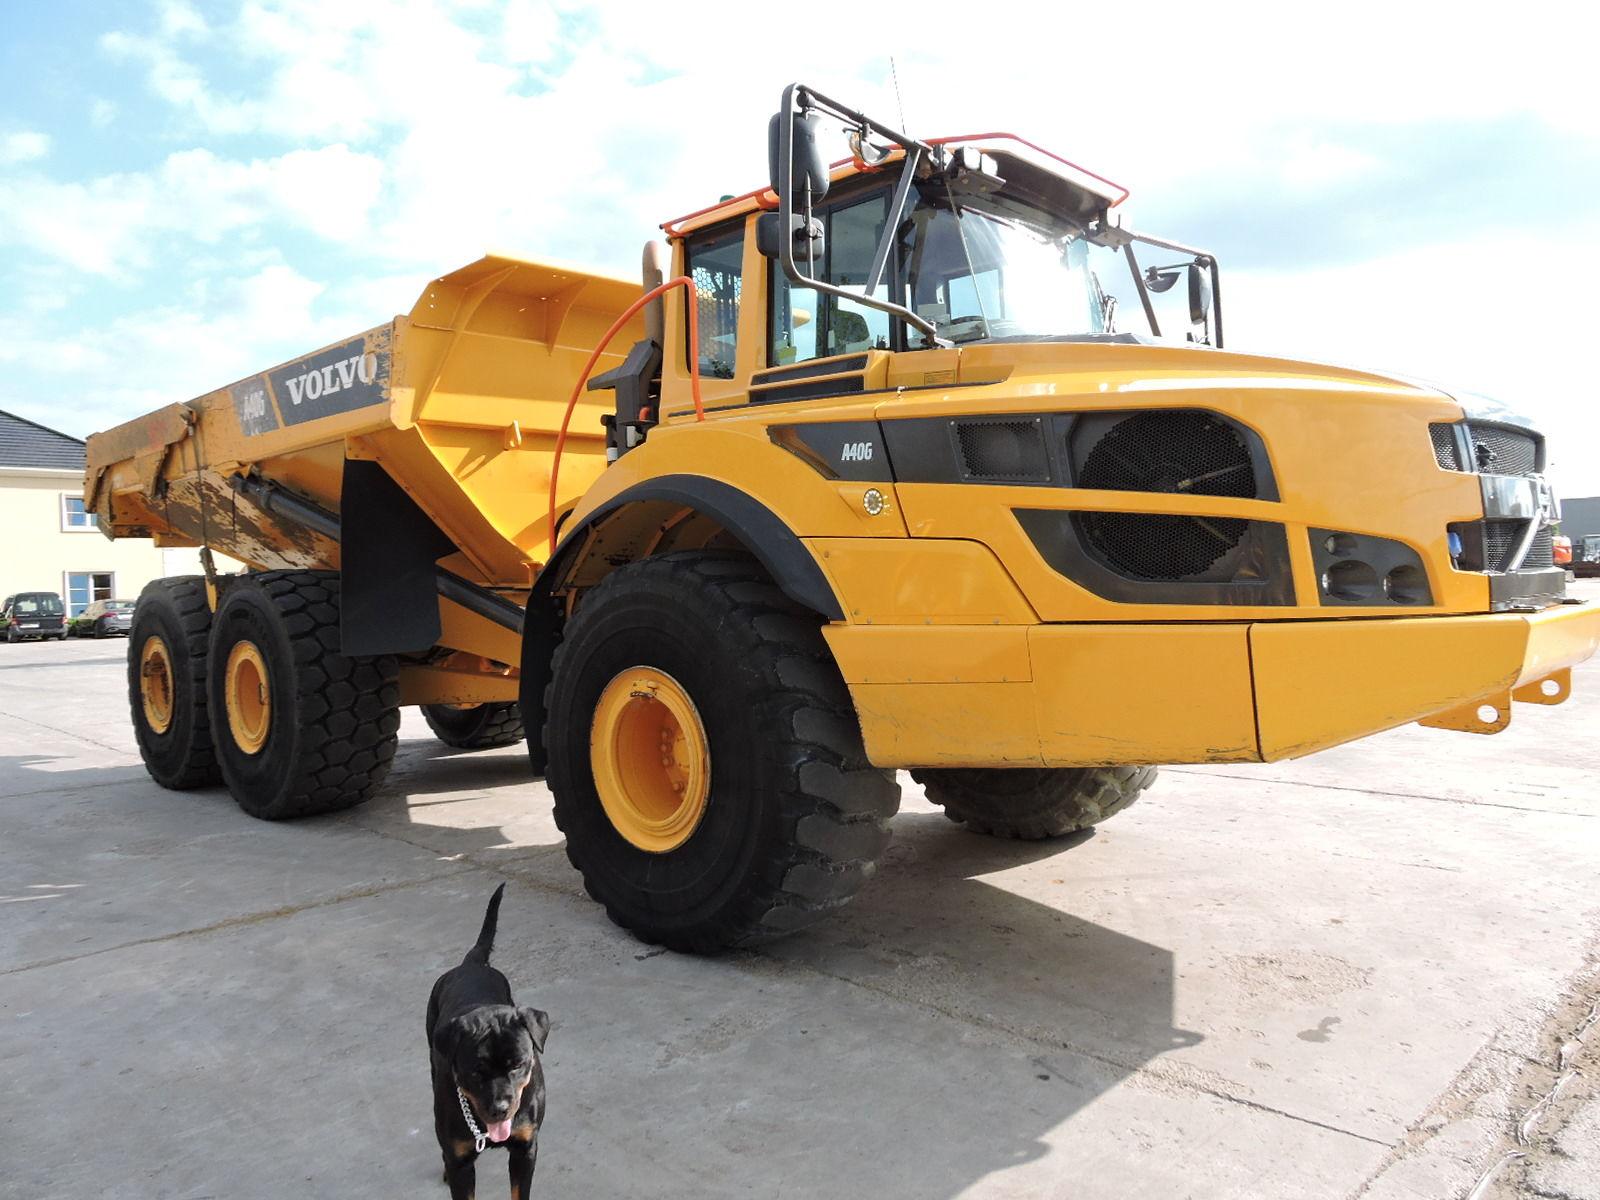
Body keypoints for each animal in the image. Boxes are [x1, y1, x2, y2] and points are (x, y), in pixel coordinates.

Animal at [427, 884, 551, 1199]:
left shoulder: (525, 1149)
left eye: (518, 1064)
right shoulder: (461, 1161)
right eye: (475, 1071)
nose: (500, 1108)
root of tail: (469, 963)